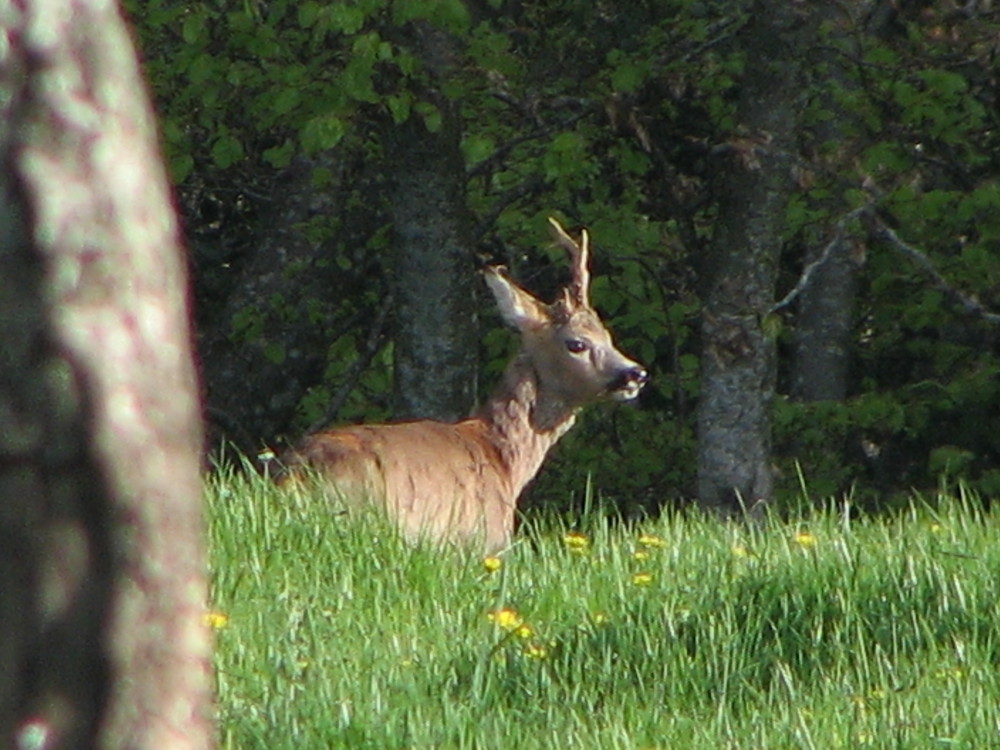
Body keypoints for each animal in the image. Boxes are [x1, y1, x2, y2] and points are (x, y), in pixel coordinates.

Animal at [284, 217, 648, 552]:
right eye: (577, 343)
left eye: (608, 336)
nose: (635, 373)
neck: (502, 459)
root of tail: (290, 476)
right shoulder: (484, 540)